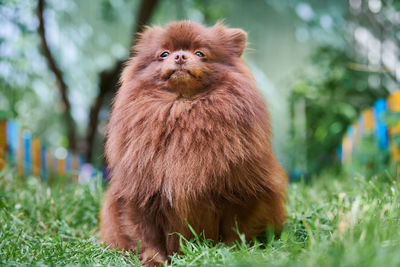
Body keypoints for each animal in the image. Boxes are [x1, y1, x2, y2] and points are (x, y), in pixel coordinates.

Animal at [100, 21, 288, 266]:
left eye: (200, 53)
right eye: (164, 54)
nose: (180, 56)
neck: (183, 104)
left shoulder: (241, 192)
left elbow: (235, 230)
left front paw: (230, 254)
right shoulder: (140, 195)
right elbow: (147, 236)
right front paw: (154, 261)